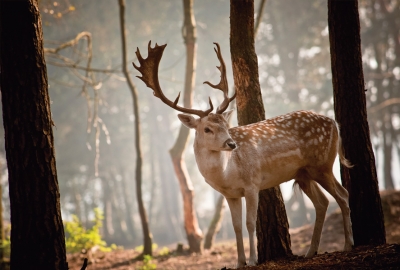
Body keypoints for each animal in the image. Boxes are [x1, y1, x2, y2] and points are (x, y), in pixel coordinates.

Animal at [134, 41, 354, 266]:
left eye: (226, 125)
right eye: (207, 129)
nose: (231, 144)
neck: (226, 174)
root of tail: (334, 122)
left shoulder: (252, 183)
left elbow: (250, 222)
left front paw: (253, 260)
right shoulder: (230, 194)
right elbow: (236, 226)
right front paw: (240, 262)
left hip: (322, 164)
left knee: (342, 195)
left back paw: (347, 245)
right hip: (303, 173)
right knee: (323, 202)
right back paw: (310, 251)